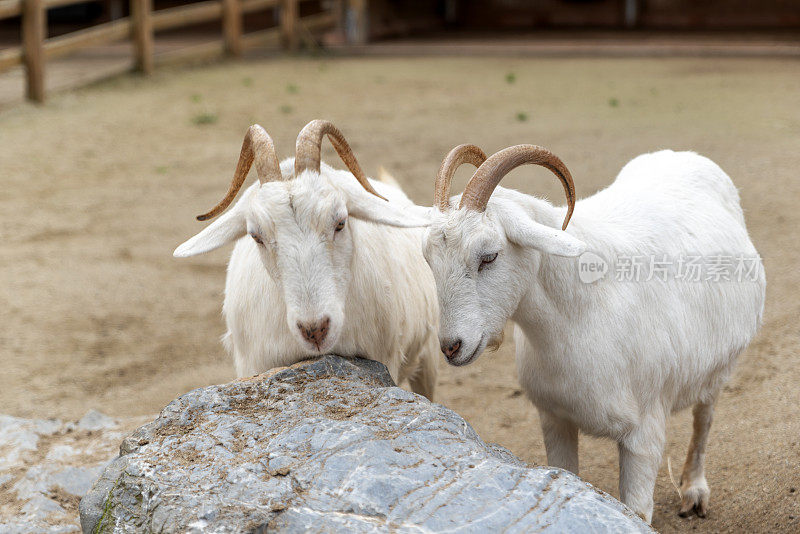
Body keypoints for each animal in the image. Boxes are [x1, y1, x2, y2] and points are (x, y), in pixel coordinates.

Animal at [422, 144, 764, 524]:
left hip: (718, 367)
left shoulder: (644, 433)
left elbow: (637, 510)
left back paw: (694, 491)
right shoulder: (555, 419)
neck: (582, 312)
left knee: (704, 420)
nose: (451, 347)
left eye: (489, 256)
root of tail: (683, 155)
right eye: (428, 259)